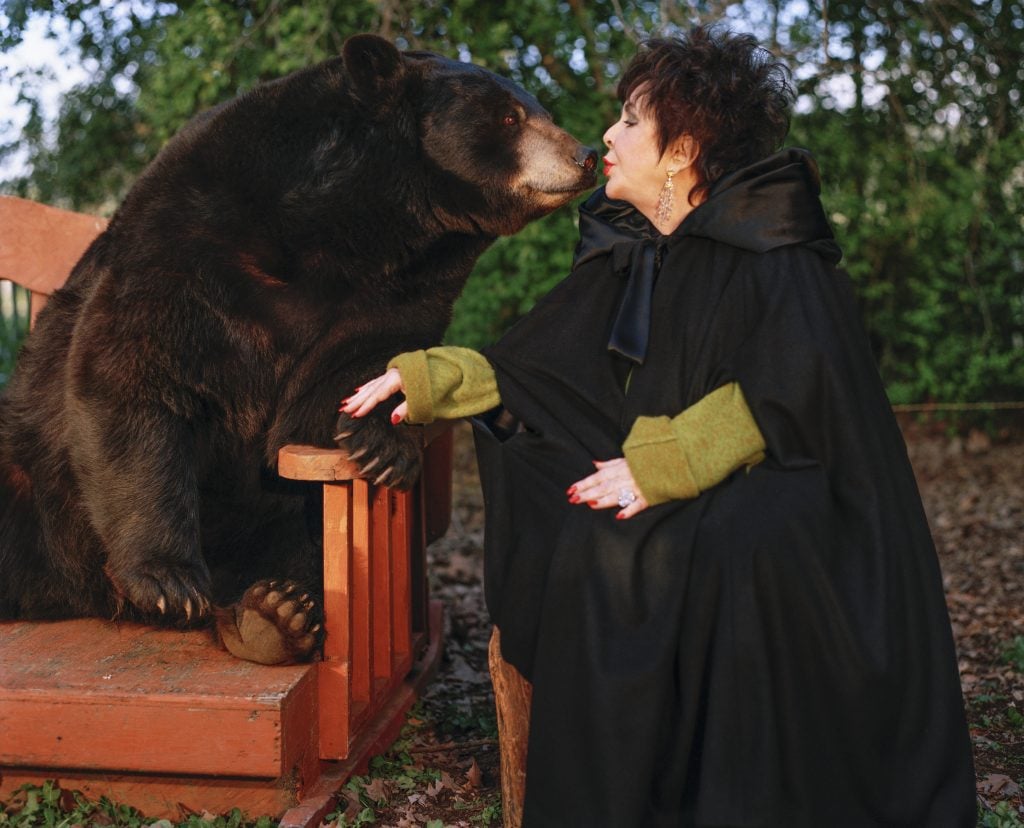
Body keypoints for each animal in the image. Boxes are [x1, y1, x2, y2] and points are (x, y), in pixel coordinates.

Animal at [0, 35, 598, 663]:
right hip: (27, 474)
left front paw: (380, 444)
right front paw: (167, 580)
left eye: (539, 110)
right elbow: (132, 369)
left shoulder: (400, 290)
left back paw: (274, 614)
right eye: (508, 117)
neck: (351, 230)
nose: (586, 155)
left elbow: (348, 376)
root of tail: (76, 596)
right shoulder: (188, 236)